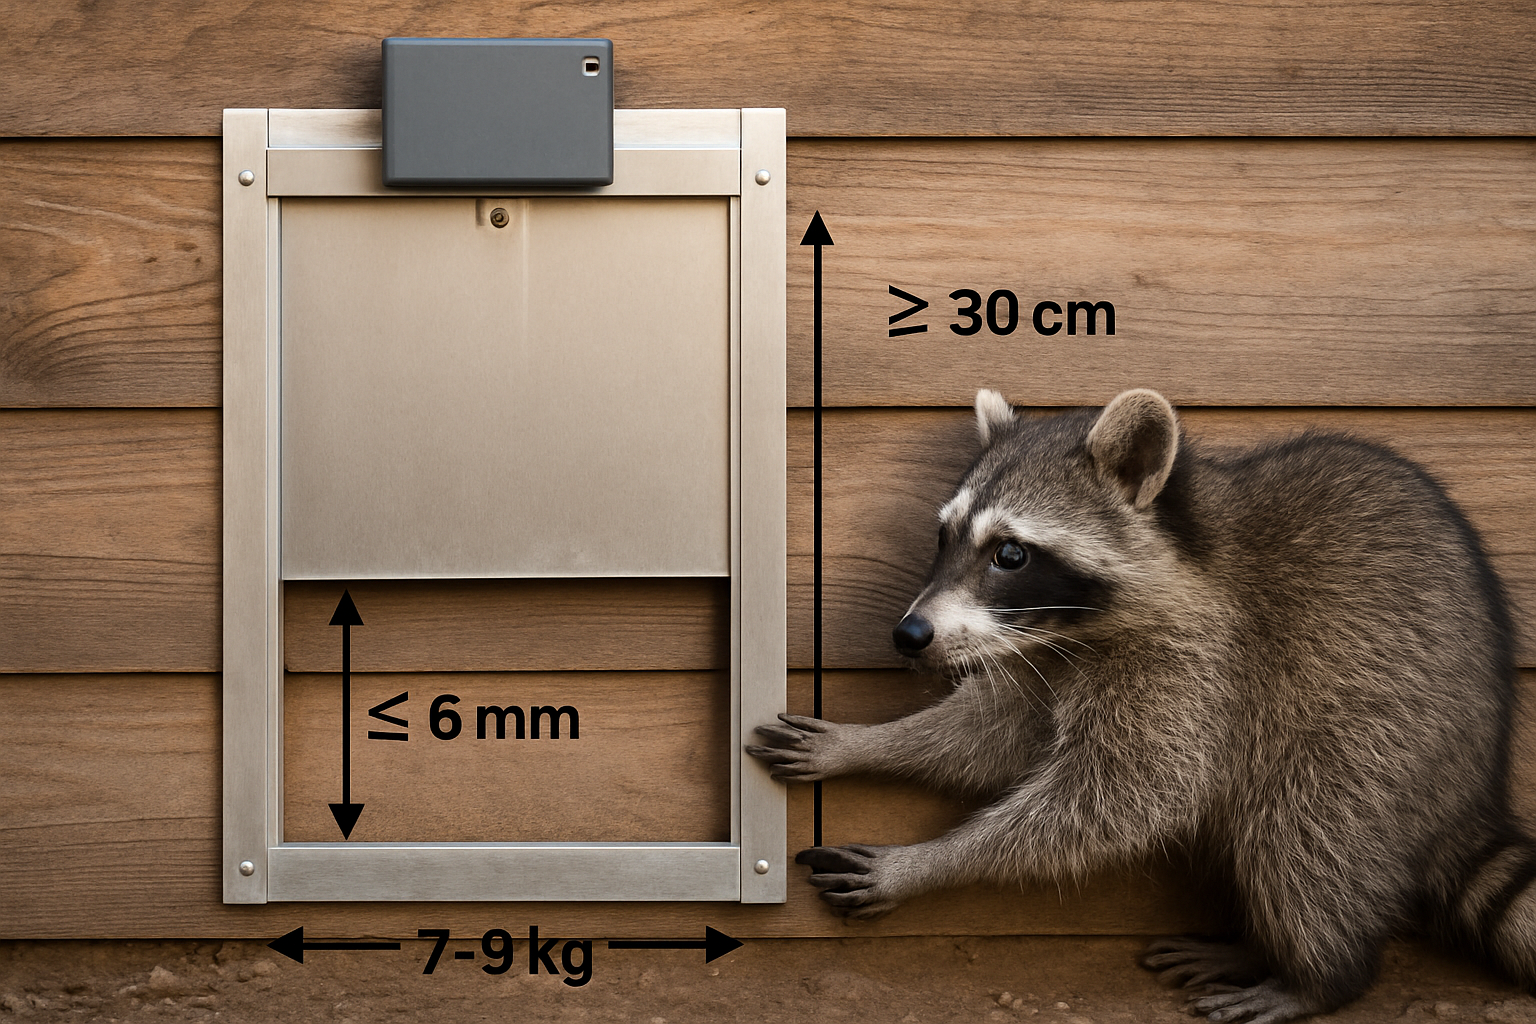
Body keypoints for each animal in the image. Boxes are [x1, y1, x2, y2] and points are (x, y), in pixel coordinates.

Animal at [748, 389, 1526, 1023]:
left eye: (1010, 554)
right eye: (944, 538)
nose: (909, 636)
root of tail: (1471, 784)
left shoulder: (1199, 663)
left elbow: (1126, 797)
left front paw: (929, 863)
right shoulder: (1043, 650)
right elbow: (990, 735)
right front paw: (866, 742)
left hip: (1379, 733)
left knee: (1304, 833)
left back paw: (1316, 977)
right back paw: (1254, 949)